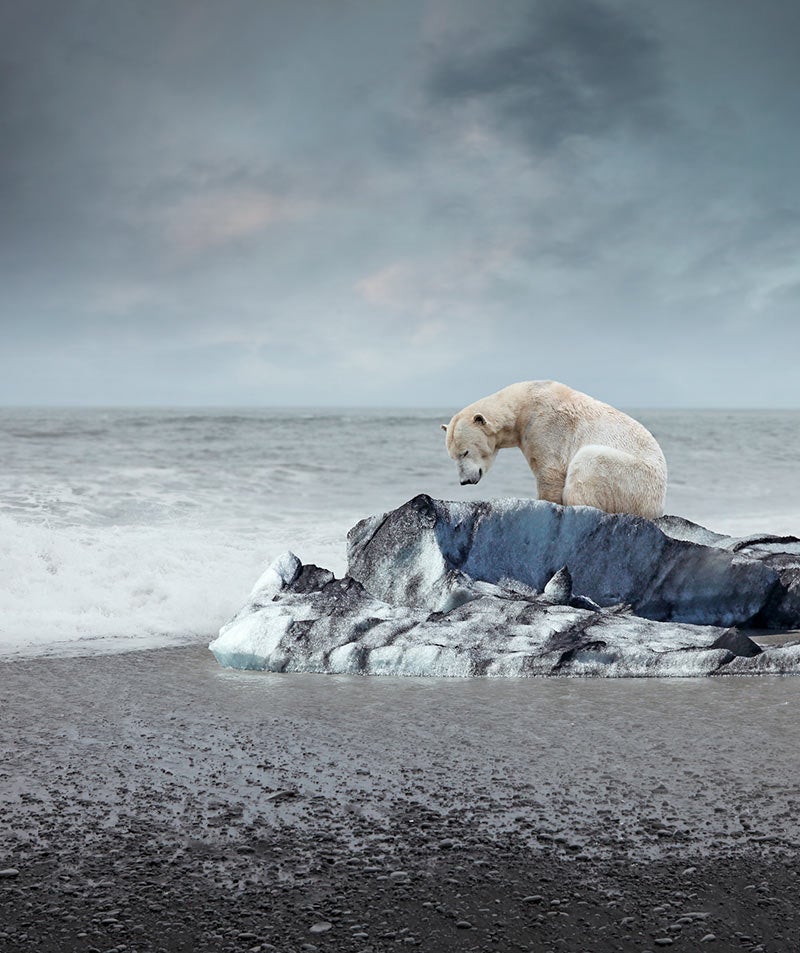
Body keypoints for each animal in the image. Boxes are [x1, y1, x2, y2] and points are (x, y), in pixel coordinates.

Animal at [442, 380, 667, 519]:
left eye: (465, 452)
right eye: (452, 457)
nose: (464, 481)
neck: (523, 405)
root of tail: (657, 506)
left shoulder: (546, 427)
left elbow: (549, 472)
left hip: (634, 479)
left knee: (589, 461)